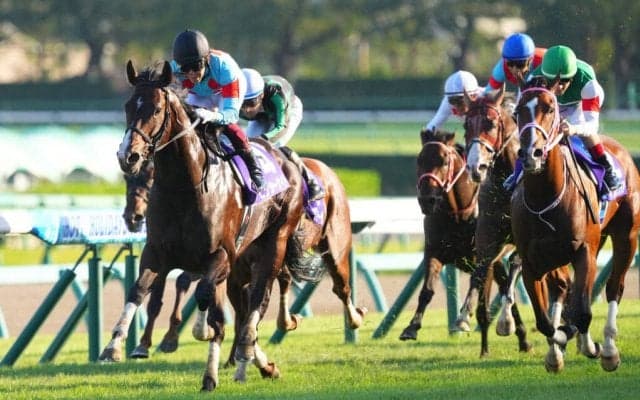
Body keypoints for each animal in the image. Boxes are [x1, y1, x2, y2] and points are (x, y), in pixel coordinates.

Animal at [104, 59, 307, 391]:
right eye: (128, 106)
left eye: (156, 109)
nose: (128, 155)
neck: (185, 186)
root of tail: (287, 161)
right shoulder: (157, 252)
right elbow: (139, 290)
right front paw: (115, 346)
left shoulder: (219, 256)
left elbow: (206, 305)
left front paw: (208, 366)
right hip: (241, 265)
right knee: (244, 308)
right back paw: (257, 362)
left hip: (273, 245)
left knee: (257, 302)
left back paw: (248, 350)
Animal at [398, 130, 481, 340]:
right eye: (419, 160)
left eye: (444, 162)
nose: (427, 200)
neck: (459, 215)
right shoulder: (434, 251)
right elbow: (426, 290)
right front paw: (411, 327)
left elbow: (478, 281)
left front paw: (463, 320)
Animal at [462, 86, 572, 356]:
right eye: (465, 125)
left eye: (491, 123)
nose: (475, 167)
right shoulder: (488, 237)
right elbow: (481, 272)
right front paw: (465, 316)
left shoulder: (527, 243)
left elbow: (515, 270)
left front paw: (506, 322)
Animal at [511, 83, 640, 372]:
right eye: (517, 111)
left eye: (550, 109)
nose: (531, 154)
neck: (546, 197)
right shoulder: (532, 262)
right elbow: (545, 321)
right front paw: (558, 345)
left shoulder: (584, 253)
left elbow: (582, 312)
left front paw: (592, 346)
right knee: (568, 293)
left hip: (627, 236)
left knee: (614, 287)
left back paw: (609, 350)